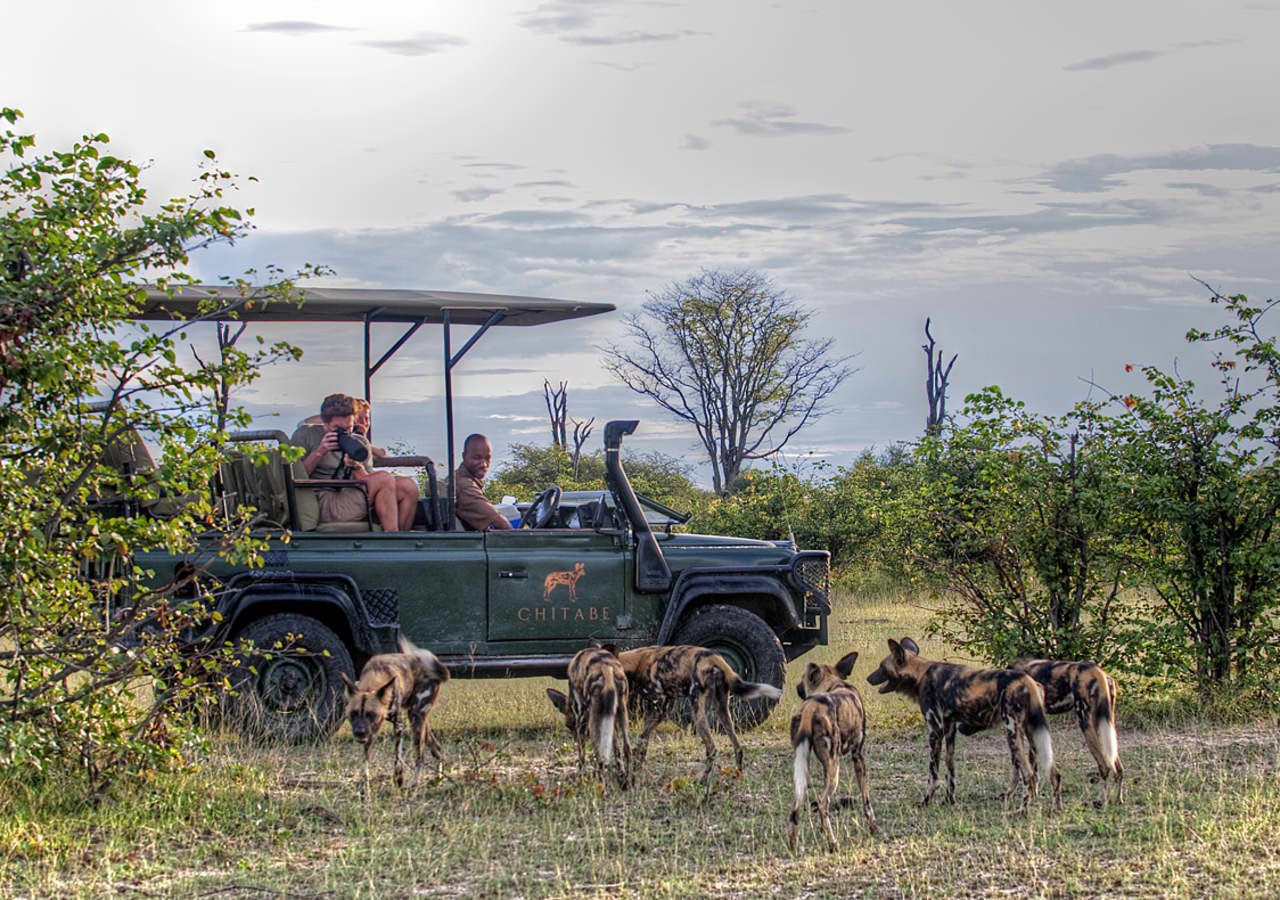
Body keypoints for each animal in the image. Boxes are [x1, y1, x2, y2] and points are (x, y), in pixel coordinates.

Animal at [340, 634, 450, 793]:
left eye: (371, 714)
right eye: (353, 714)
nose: (359, 732)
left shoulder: (398, 725)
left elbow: (397, 758)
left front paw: (399, 779)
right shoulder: (369, 733)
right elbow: (365, 763)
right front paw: (365, 788)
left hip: (415, 720)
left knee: (420, 756)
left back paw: (414, 783)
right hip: (419, 720)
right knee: (437, 749)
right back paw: (438, 778)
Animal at [611, 647, 778, 793]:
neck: (637, 662)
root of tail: (715, 658)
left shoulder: (657, 709)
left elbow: (641, 739)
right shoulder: (660, 712)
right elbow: (643, 742)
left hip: (697, 711)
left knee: (712, 749)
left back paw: (703, 782)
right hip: (723, 711)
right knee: (738, 747)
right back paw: (738, 775)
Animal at [788, 655, 880, 850]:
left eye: (802, 678)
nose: (797, 687)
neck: (832, 683)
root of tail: (811, 706)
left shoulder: (826, 767)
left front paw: (822, 830)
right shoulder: (857, 756)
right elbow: (866, 800)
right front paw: (873, 827)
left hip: (809, 769)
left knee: (795, 806)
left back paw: (794, 845)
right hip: (835, 770)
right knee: (823, 805)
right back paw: (833, 843)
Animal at [870, 634, 1059, 819]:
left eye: (881, 667)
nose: (868, 678)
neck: (920, 673)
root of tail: (1029, 681)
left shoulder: (935, 731)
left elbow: (933, 775)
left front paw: (926, 801)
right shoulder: (949, 730)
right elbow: (950, 769)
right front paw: (949, 800)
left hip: (1012, 732)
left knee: (1030, 776)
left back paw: (1021, 812)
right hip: (1031, 734)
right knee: (1053, 773)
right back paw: (1054, 809)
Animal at [1008, 660, 1121, 803]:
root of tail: (1097, 670)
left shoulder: (1018, 727)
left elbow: (1016, 764)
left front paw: (1011, 793)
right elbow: (1032, 763)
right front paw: (1034, 794)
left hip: (1085, 721)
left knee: (1105, 766)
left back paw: (1101, 801)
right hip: (1108, 725)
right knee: (1118, 768)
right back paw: (1118, 800)